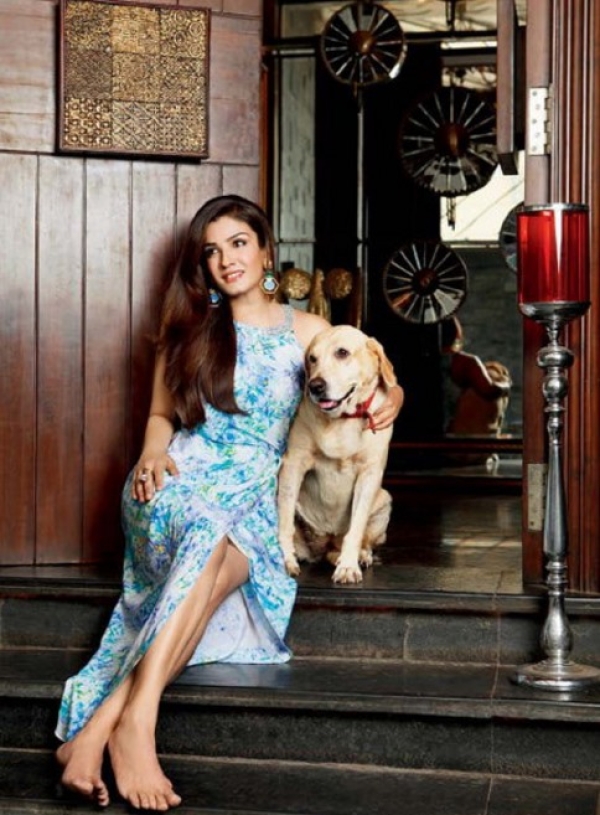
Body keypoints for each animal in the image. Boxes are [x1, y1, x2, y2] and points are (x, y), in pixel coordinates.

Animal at [277, 325, 398, 584]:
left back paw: (359, 556)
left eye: (342, 353)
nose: (315, 386)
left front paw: (348, 566)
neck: (342, 419)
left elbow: (356, 528)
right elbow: (284, 522)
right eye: (312, 358)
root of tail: (325, 544)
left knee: (356, 541)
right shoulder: (293, 465)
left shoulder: (369, 473)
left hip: (384, 502)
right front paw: (284, 560)